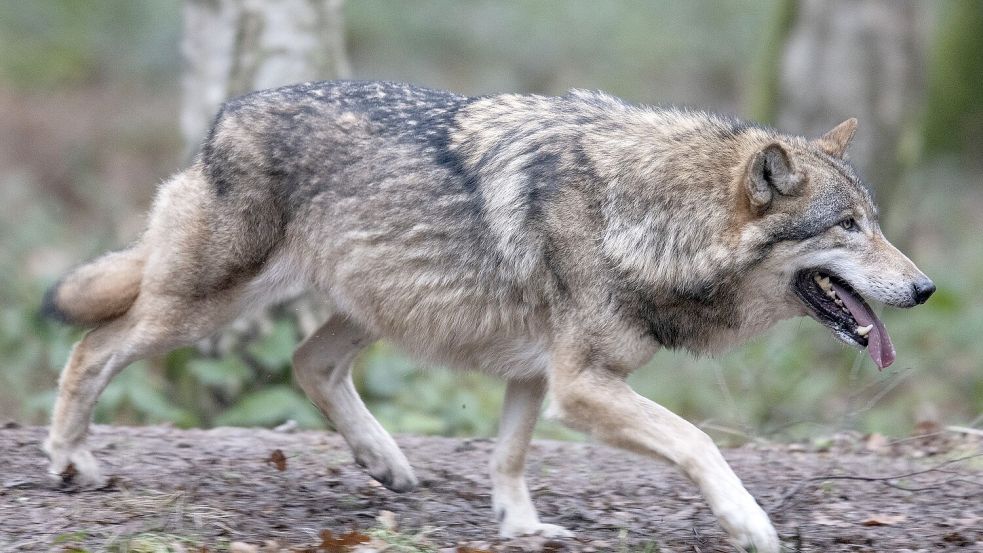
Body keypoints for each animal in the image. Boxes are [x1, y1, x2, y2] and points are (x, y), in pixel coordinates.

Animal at [42, 80, 936, 548]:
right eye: (846, 226)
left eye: (876, 221)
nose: (925, 288)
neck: (648, 216)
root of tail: (226, 113)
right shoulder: (581, 384)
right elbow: (697, 441)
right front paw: (749, 522)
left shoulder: (537, 372)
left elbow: (508, 455)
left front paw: (521, 525)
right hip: (200, 308)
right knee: (93, 346)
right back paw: (70, 460)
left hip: (373, 307)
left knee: (308, 362)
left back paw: (385, 460)